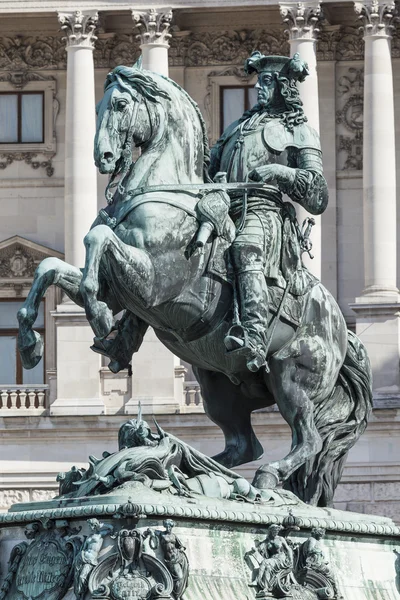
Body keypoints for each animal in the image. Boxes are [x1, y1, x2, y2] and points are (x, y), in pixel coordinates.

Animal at [15, 64, 372, 506]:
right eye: (97, 106)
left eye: (120, 104)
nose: (104, 158)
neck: (163, 191)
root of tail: (341, 328)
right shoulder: (122, 291)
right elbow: (52, 267)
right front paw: (31, 341)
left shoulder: (152, 283)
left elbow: (96, 241)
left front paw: (96, 315)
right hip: (217, 385)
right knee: (243, 446)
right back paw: (189, 466)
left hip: (293, 378)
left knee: (307, 439)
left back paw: (259, 476)